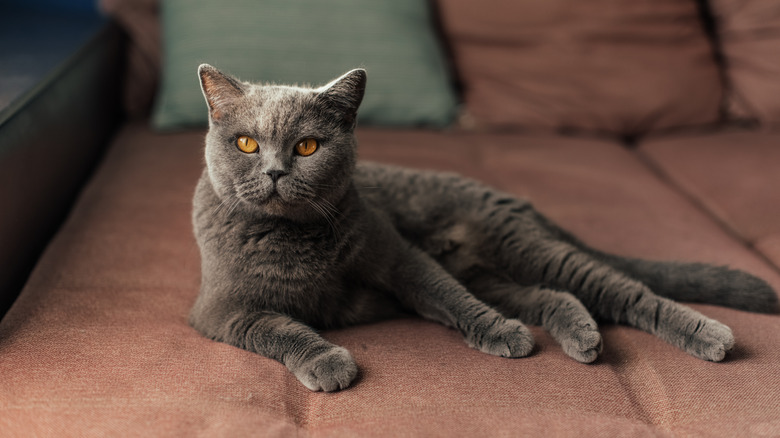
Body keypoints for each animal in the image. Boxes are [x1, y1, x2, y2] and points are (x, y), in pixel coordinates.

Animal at [190, 63, 780, 392]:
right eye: (247, 143)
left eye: (308, 146)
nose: (274, 171)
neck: (295, 238)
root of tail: (514, 199)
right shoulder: (220, 310)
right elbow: (278, 328)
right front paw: (329, 361)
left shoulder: (400, 256)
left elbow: (445, 294)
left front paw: (497, 332)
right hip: (494, 272)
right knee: (554, 295)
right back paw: (583, 336)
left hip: (521, 247)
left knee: (623, 289)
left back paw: (710, 335)